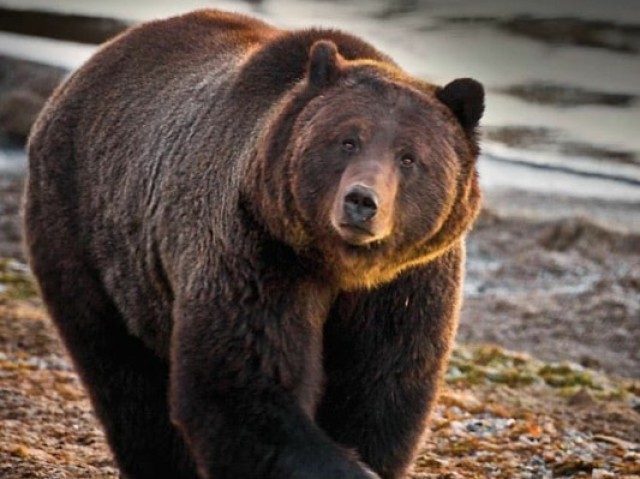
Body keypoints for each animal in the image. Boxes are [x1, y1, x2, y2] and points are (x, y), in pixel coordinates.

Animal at [26, 8, 484, 479]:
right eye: (347, 140)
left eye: (409, 157)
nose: (361, 201)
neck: (339, 265)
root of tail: (94, 63)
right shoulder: (258, 251)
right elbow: (244, 383)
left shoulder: (408, 282)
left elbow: (383, 386)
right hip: (83, 228)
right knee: (125, 378)